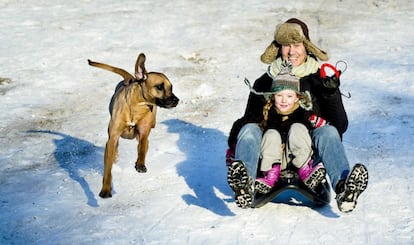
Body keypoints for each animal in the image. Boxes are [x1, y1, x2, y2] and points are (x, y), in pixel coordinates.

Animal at [87, 53, 178, 197]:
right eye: (159, 87)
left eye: (171, 87)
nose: (176, 100)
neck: (137, 108)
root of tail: (131, 77)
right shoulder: (112, 137)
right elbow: (108, 167)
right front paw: (106, 189)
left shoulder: (144, 133)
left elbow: (141, 149)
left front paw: (140, 164)